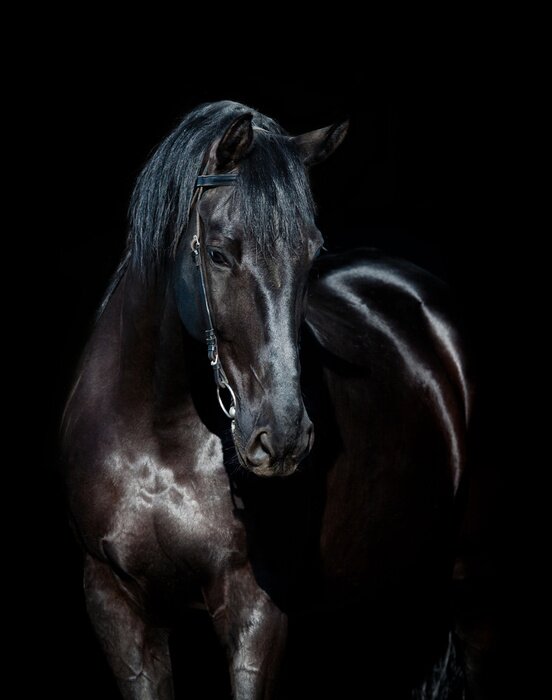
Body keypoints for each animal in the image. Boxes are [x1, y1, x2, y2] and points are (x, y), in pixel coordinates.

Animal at [61, 100, 474, 699]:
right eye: (217, 254)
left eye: (311, 253)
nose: (281, 439)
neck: (158, 437)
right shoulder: (116, 603)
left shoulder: (255, 608)